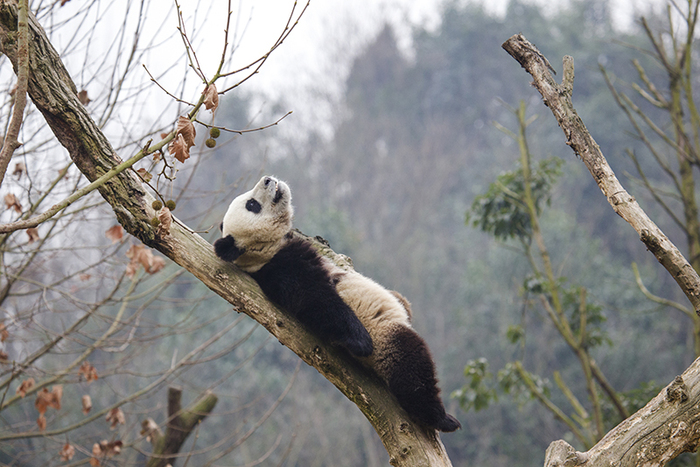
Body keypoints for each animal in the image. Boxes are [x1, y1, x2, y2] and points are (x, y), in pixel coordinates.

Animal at [216, 176, 462, 436]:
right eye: (252, 205)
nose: (267, 179)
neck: (263, 251)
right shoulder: (282, 266)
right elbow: (317, 299)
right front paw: (360, 341)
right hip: (388, 338)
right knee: (411, 369)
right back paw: (442, 419)